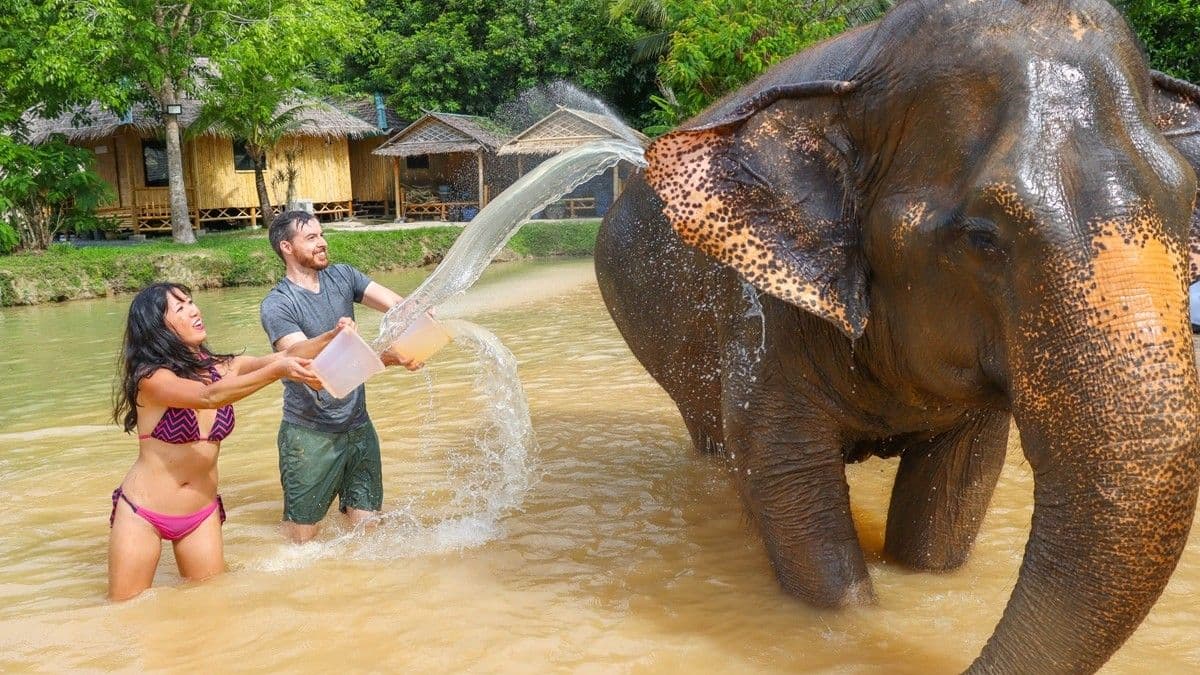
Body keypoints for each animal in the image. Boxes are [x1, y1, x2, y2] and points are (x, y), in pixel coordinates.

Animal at [594, 0, 1200, 672]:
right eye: (982, 237)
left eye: (1188, 202)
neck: (863, 70)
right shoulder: (762, 314)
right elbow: (784, 480)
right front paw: (848, 619)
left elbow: (957, 488)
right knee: (714, 442)